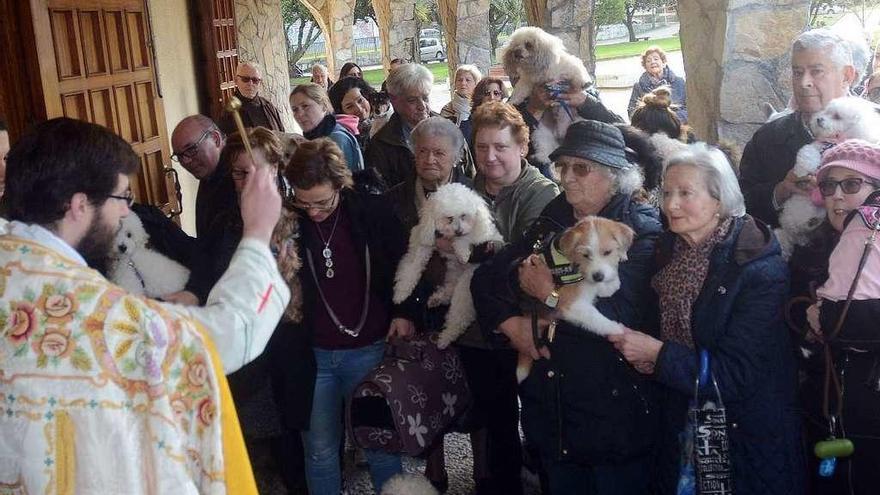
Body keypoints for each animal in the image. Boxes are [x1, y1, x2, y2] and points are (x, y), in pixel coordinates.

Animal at [394, 182, 502, 348]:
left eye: (464, 216)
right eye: (449, 218)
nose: (458, 231)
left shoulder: (486, 237)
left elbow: (467, 238)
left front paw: (463, 252)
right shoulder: (425, 242)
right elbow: (412, 267)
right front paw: (401, 294)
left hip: (465, 287)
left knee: (458, 316)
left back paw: (444, 339)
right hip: (453, 273)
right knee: (449, 290)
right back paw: (437, 299)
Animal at [516, 217, 632, 384]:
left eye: (607, 252)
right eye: (585, 255)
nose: (598, 276)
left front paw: (611, 282)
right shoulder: (573, 305)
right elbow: (595, 319)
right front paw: (616, 329)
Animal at [776, 97, 880, 260]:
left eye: (837, 116)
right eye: (826, 111)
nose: (819, 119)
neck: (835, 140)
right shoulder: (817, 146)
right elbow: (807, 153)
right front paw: (802, 170)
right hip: (794, 217)